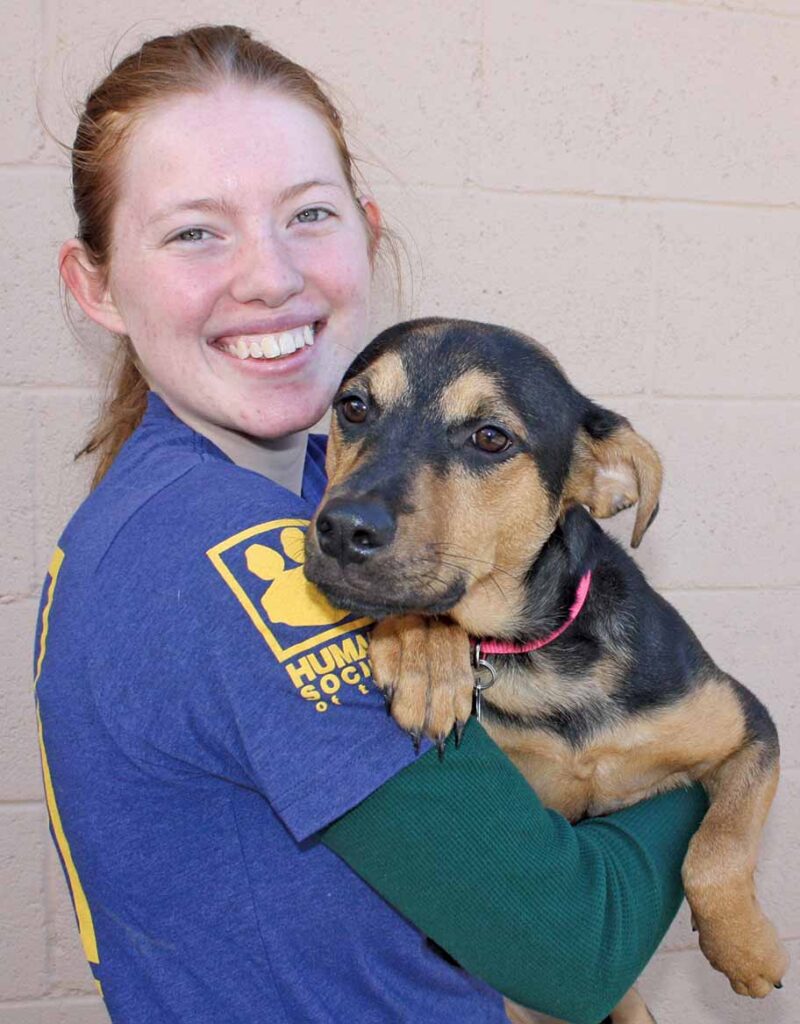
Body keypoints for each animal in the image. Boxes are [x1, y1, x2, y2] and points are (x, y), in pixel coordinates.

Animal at [303, 317, 782, 1024]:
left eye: (490, 437)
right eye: (354, 408)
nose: (340, 529)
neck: (535, 655)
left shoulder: (746, 725)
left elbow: (720, 844)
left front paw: (745, 948)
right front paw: (424, 652)